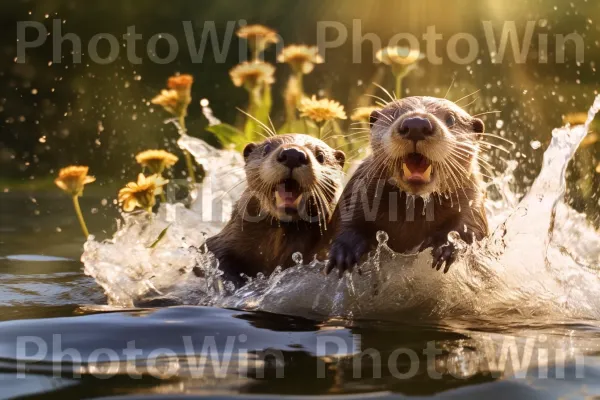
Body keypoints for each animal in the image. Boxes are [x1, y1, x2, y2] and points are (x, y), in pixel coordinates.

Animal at [326, 97, 490, 276]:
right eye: (395, 113)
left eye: (451, 119)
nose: (416, 124)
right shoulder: (358, 188)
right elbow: (346, 219)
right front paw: (344, 252)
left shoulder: (473, 199)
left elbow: (471, 227)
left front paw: (446, 247)